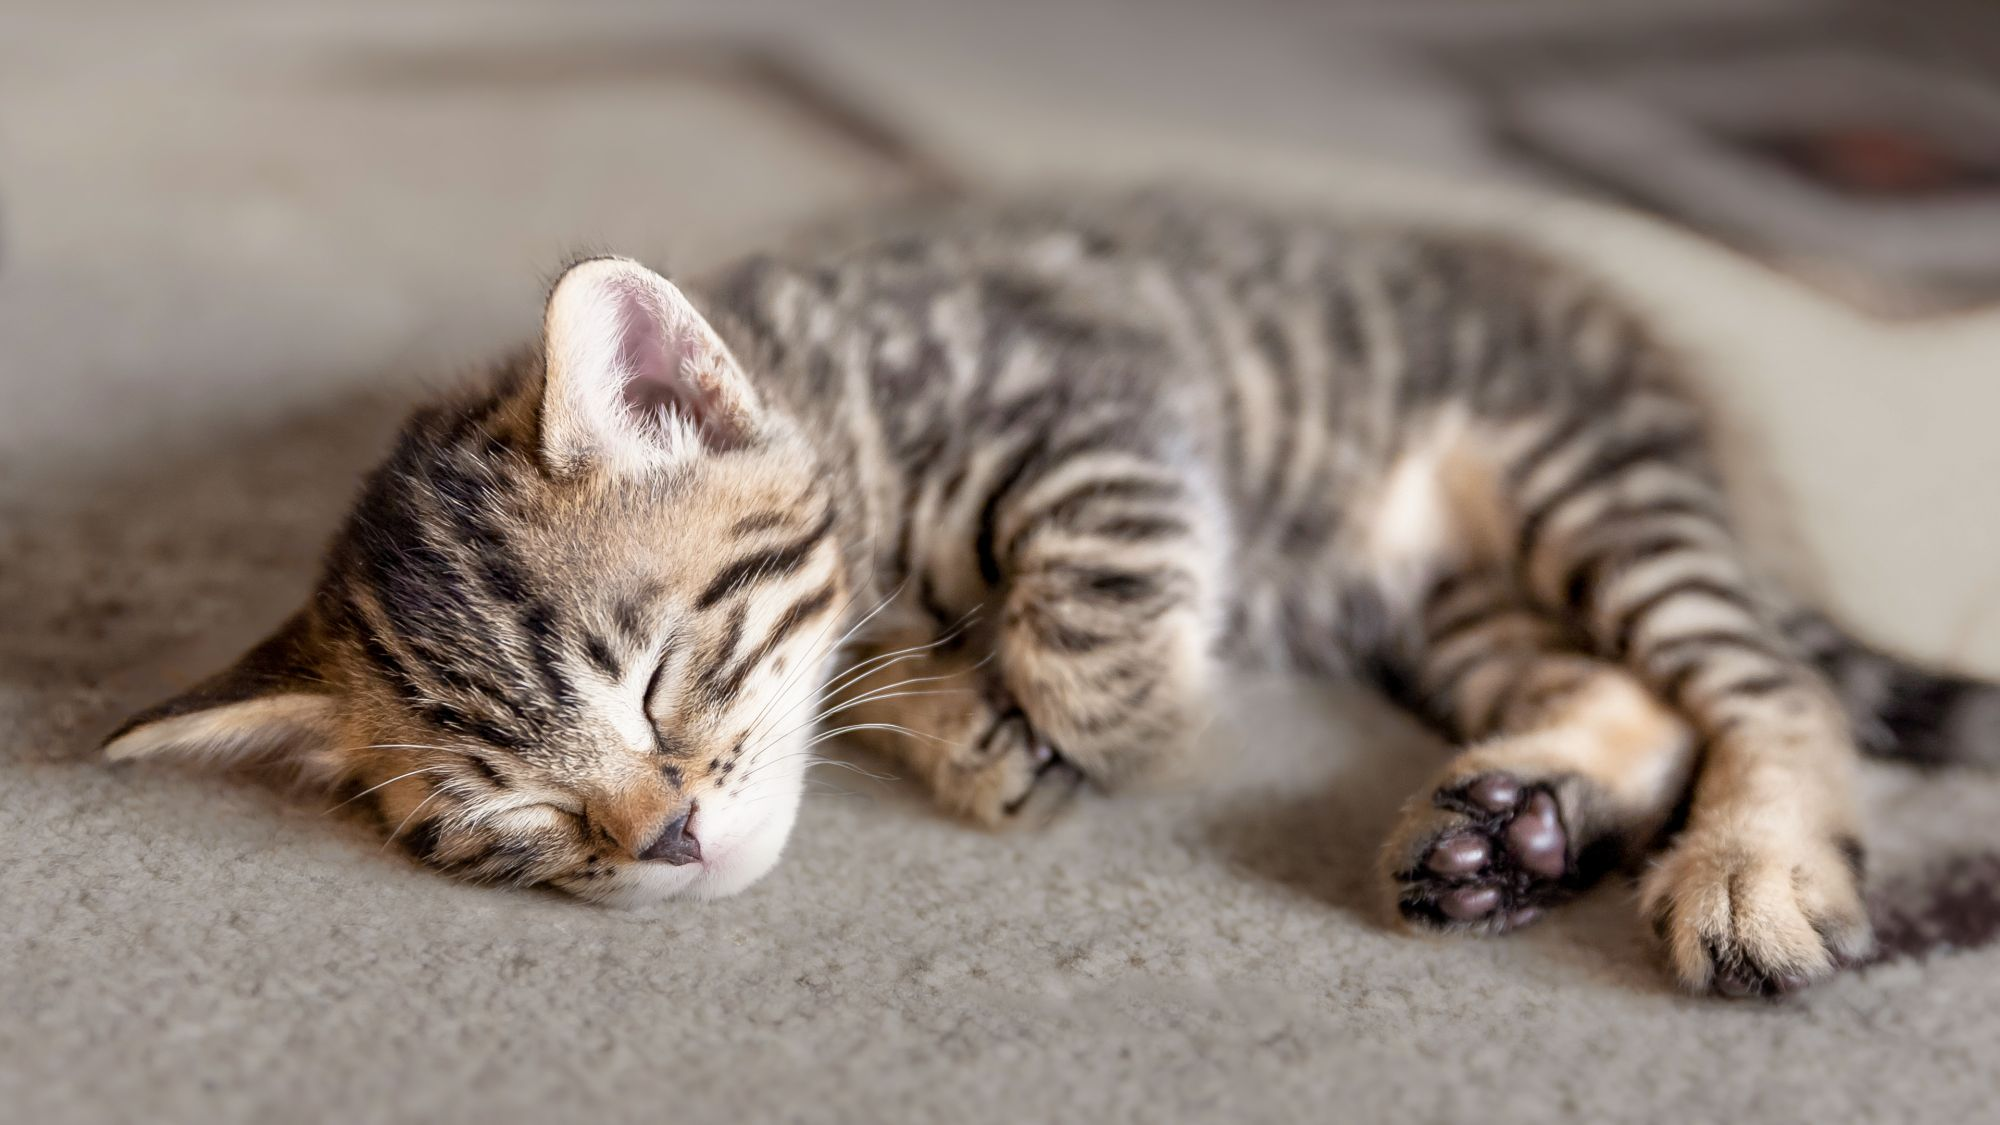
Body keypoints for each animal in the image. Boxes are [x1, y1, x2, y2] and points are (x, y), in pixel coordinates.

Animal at [105, 190, 2000, 988]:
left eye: (653, 680)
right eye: (509, 824)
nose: (663, 840)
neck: (836, 388)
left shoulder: (1098, 408)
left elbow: (1087, 610)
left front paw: (1138, 733)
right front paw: (971, 730)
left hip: (1574, 468)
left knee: (1763, 681)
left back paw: (1754, 871)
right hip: (1449, 594)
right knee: (1622, 686)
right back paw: (1509, 824)